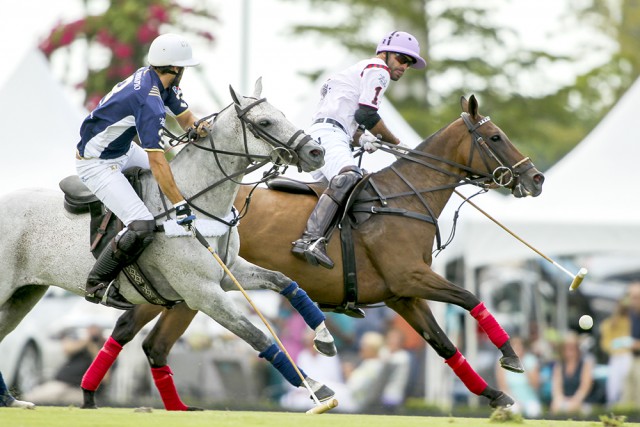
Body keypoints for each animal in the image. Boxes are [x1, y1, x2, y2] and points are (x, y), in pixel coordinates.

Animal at [0, 79, 340, 408]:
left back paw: (11, 400)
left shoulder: (229, 273)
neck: (197, 202)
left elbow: (286, 282)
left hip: (25, 294)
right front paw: (316, 389)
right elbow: (258, 336)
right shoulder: (203, 293)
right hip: (7, 286)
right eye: (265, 122)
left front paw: (324, 339)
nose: (316, 152)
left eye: (281, 113)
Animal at [81, 96, 544, 412]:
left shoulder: (402, 295)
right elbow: (469, 297)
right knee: (145, 338)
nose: (536, 178)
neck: (404, 197)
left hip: (177, 291)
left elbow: (444, 345)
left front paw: (496, 395)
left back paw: (95, 396)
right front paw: (511, 357)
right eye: (495, 136)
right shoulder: (410, 276)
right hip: (193, 289)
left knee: (139, 337)